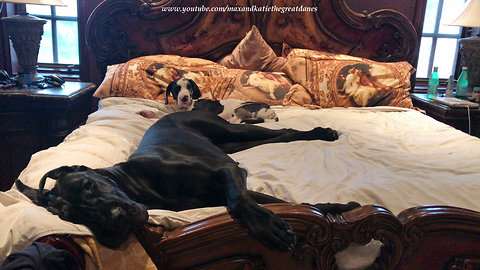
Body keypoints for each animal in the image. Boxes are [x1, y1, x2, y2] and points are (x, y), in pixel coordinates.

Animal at [15, 109, 360, 251]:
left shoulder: (228, 174)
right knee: (275, 138)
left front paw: (269, 228)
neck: (137, 182)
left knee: (284, 131)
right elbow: (282, 203)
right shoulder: (234, 181)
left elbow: (240, 201)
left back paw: (322, 132)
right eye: (71, 216)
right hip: (233, 146)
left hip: (231, 131)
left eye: (89, 185)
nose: (113, 221)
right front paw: (335, 208)